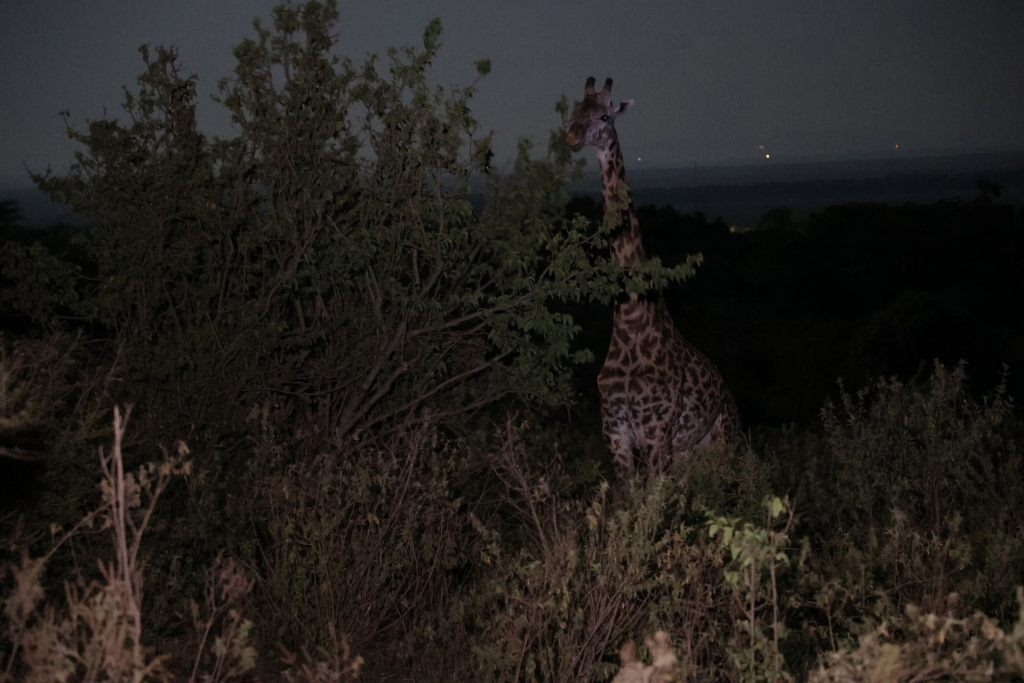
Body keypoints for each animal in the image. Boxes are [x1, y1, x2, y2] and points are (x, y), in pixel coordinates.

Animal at [564, 77, 740, 478]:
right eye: (575, 110)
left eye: (605, 114)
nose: (573, 134)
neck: (630, 318)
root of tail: (727, 388)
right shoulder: (615, 433)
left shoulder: (657, 434)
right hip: (690, 454)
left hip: (726, 442)